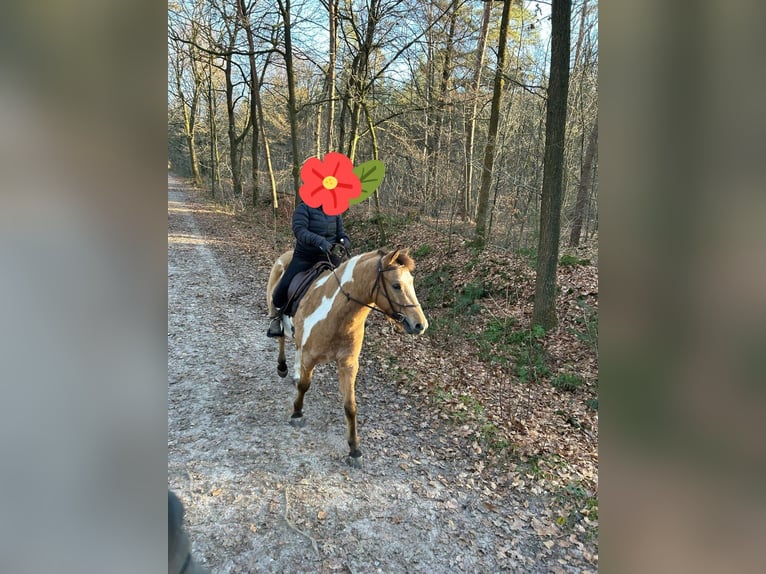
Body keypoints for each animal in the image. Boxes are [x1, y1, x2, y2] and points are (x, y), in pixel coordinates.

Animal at [266, 247, 428, 468]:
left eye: (411, 282)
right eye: (396, 285)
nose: (420, 325)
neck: (337, 315)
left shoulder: (348, 365)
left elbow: (350, 406)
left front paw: (354, 450)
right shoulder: (310, 357)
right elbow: (304, 387)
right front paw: (297, 414)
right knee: (281, 336)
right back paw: (282, 367)